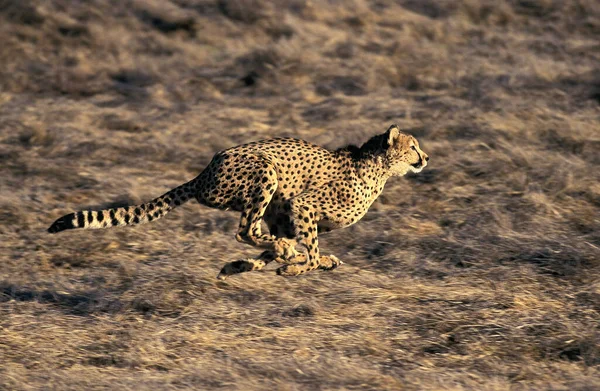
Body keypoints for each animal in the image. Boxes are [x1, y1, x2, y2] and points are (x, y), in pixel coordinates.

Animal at [49, 125, 428, 278]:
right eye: (413, 146)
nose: (426, 158)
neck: (377, 168)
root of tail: (205, 170)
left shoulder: (285, 217)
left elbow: (280, 248)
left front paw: (243, 265)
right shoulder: (302, 206)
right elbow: (307, 251)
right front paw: (298, 266)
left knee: (253, 233)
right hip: (265, 171)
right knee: (244, 230)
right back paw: (287, 256)